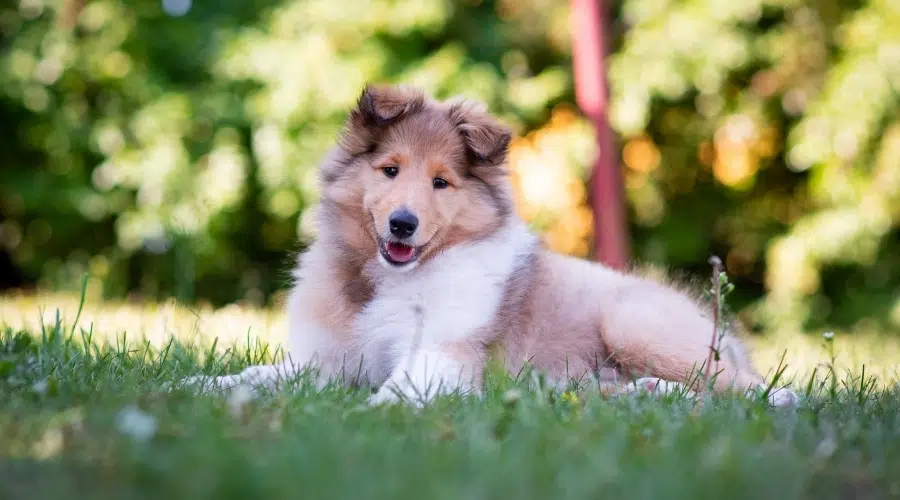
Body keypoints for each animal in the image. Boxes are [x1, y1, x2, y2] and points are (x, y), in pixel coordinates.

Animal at [181, 84, 796, 408]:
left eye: (441, 182)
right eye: (389, 170)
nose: (402, 224)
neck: (392, 279)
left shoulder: (442, 355)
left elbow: (393, 392)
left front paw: (358, 417)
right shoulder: (327, 361)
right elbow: (260, 376)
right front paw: (200, 385)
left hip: (636, 322)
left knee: (745, 387)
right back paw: (639, 392)